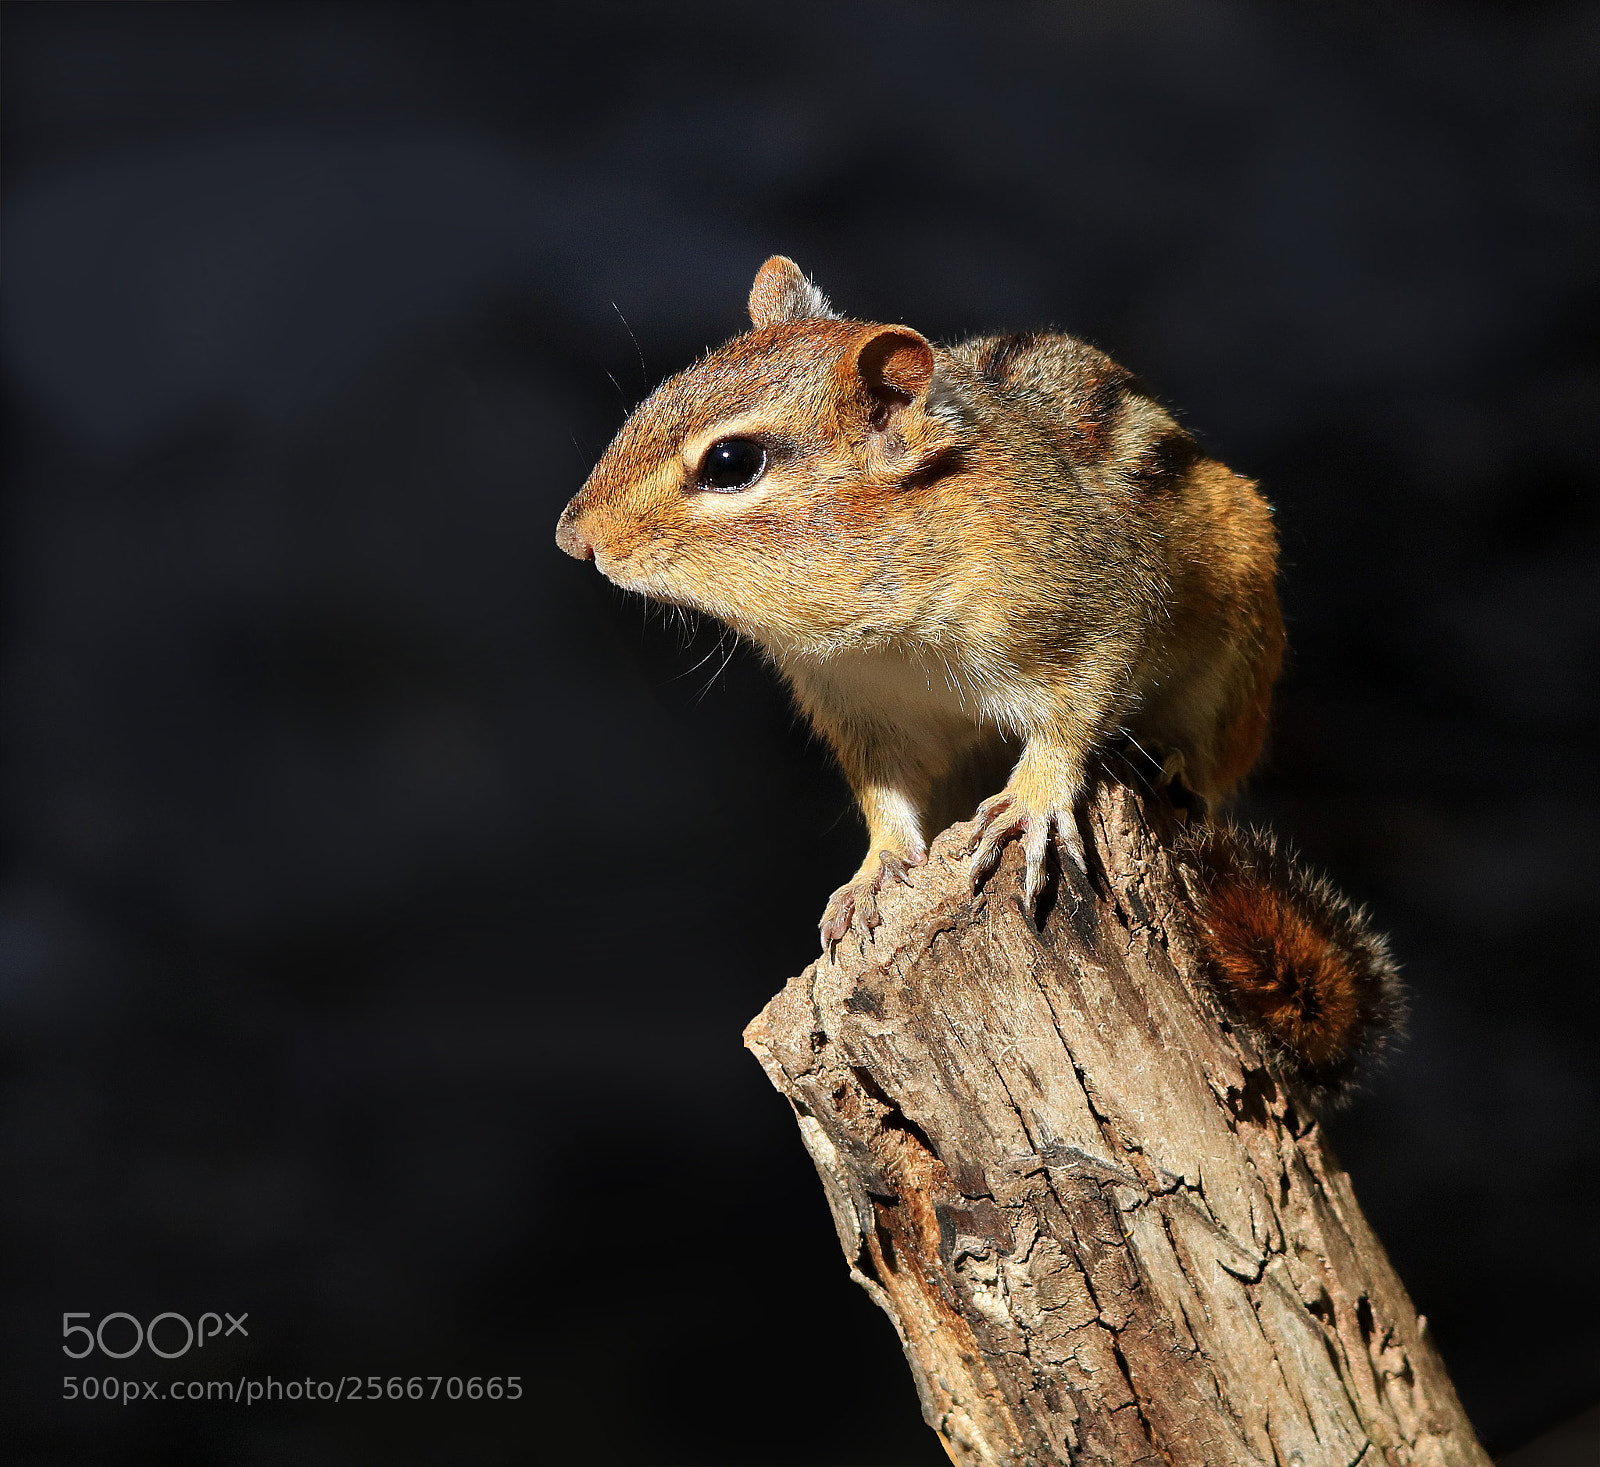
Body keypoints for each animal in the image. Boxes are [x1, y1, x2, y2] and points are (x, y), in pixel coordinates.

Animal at [556, 255, 1400, 1093]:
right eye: (656, 398)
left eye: (731, 463)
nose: (573, 538)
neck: (878, 634)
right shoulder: (862, 711)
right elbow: (886, 795)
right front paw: (873, 871)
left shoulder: (1097, 609)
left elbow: (1075, 712)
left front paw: (1030, 801)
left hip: (1240, 658)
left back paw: (1167, 762)